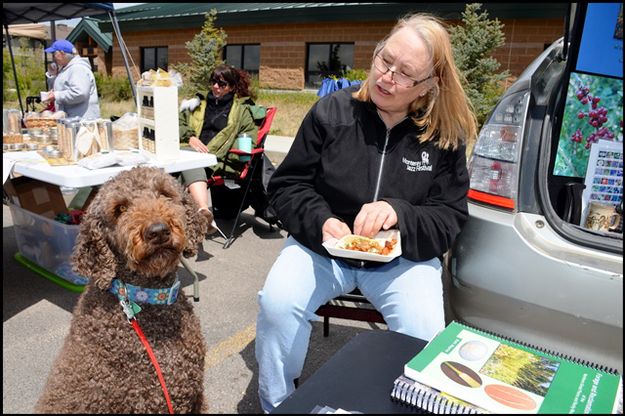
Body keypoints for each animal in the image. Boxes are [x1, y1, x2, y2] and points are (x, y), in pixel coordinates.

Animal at [37, 166, 212, 412]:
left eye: (165, 194)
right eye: (120, 209)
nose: (158, 231)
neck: (145, 297)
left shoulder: (195, 395)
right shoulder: (153, 400)